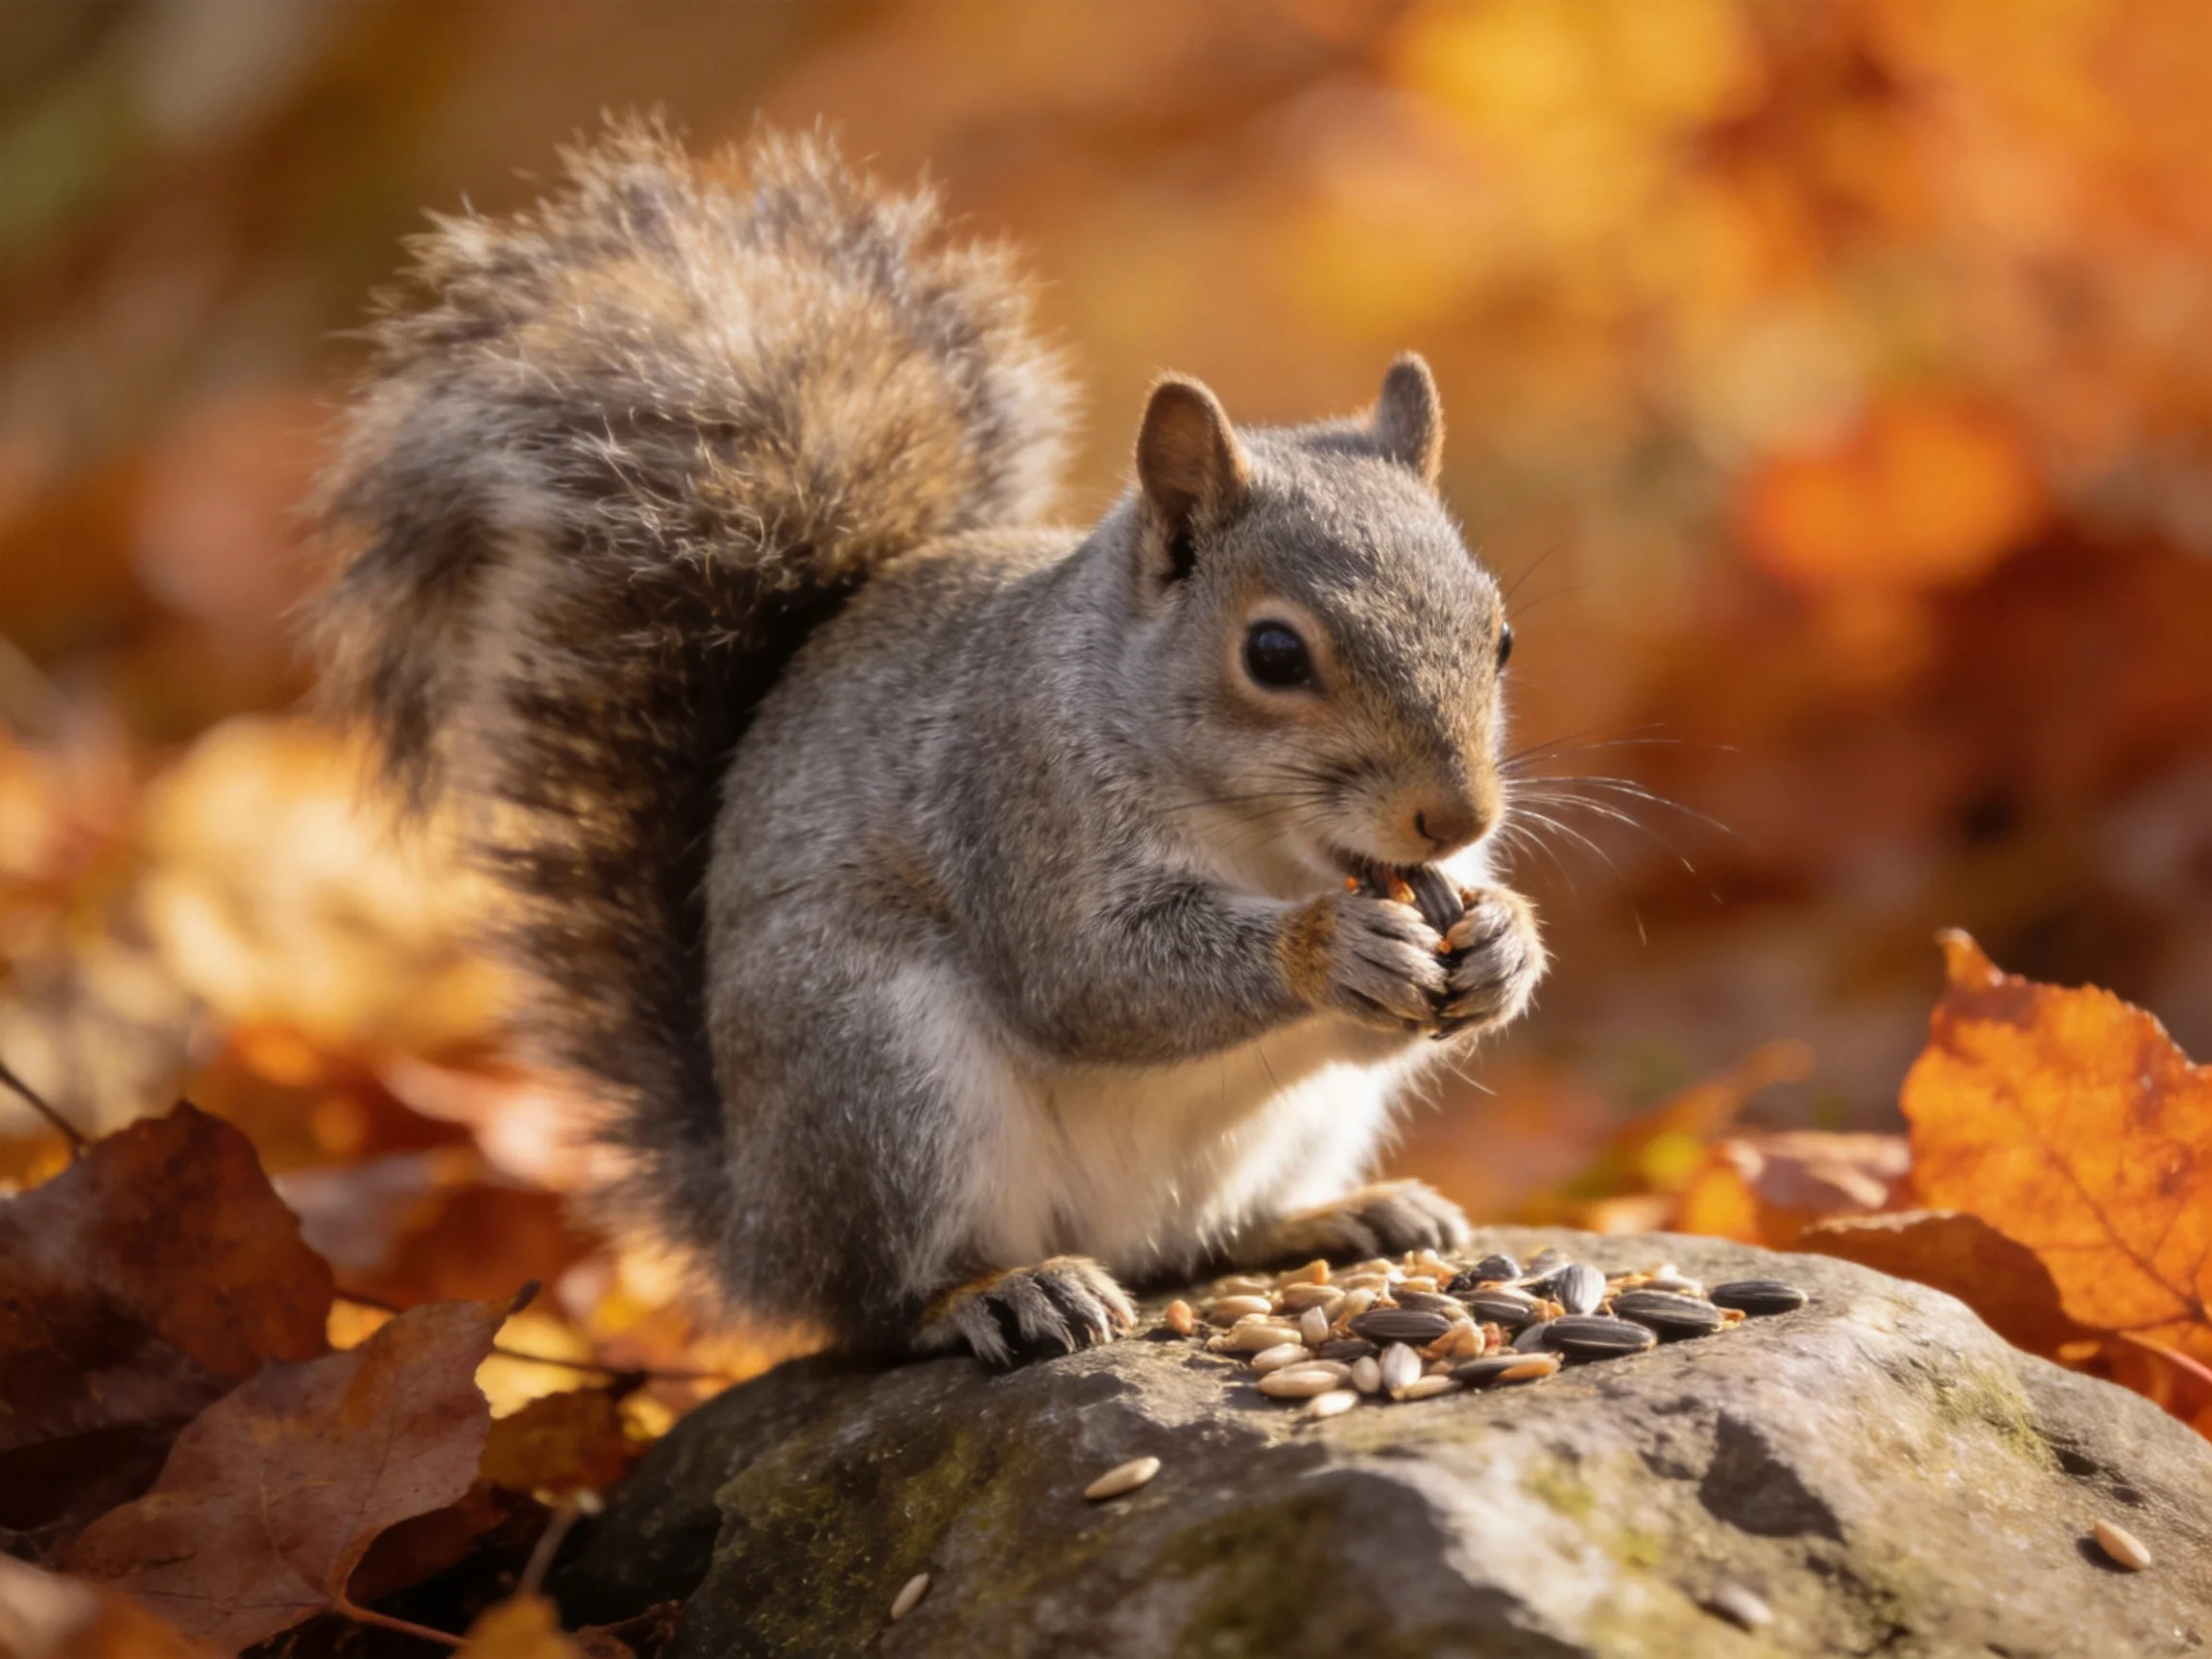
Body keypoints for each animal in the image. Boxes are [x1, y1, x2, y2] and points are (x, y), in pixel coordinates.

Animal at [310, 120, 1548, 1367]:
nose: (1458, 816)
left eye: (1499, 636)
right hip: (886, 1082)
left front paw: (1505, 941)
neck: (1267, 839)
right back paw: (1003, 1294)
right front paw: (1331, 947)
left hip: (1281, 1129)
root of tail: (757, 1229)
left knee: (1204, 1241)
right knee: (883, 1301)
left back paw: (1340, 1217)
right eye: (1276, 655)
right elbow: (1088, 979)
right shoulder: (1018, 801)